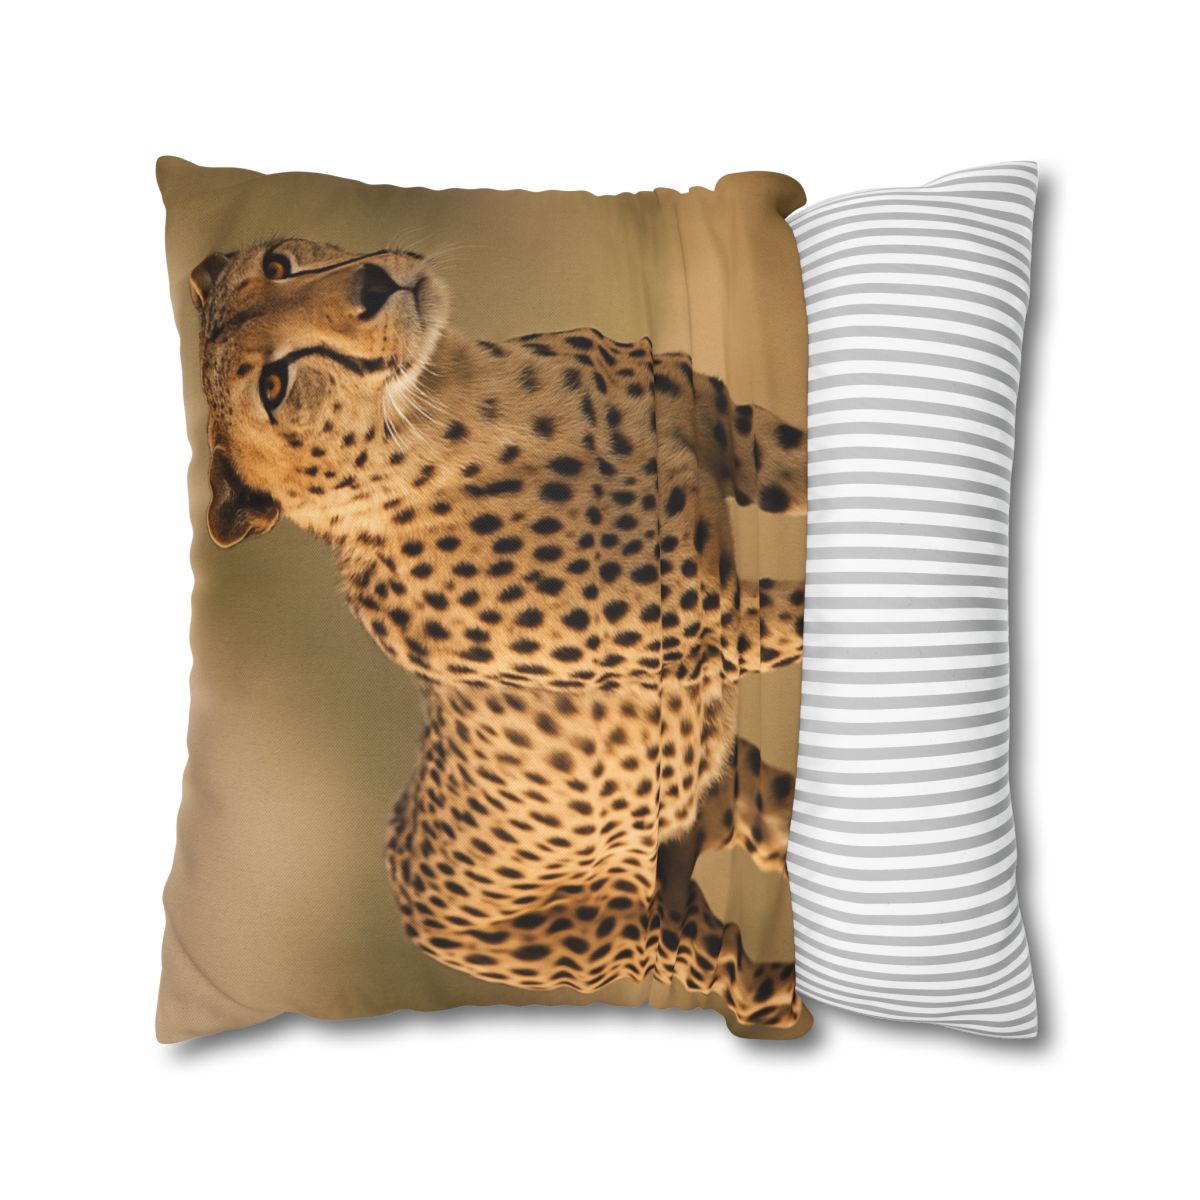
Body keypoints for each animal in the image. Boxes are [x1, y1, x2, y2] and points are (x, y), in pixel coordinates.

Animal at [190, 238, 808, 1031]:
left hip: (723, 787)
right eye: (273, 386)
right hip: (649, 931)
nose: (374, 285)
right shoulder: (717, 625)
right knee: (744, 980)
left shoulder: (735, 435)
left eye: (278, 263)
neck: (456, 400)